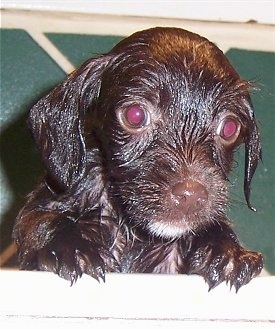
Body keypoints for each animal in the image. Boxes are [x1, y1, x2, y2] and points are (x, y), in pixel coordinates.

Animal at [12, 27, 264, 290]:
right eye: (135, 115)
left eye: (229, 127)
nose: (191, 195)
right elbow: (40, 220)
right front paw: (72, 246)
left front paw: (229, 251)